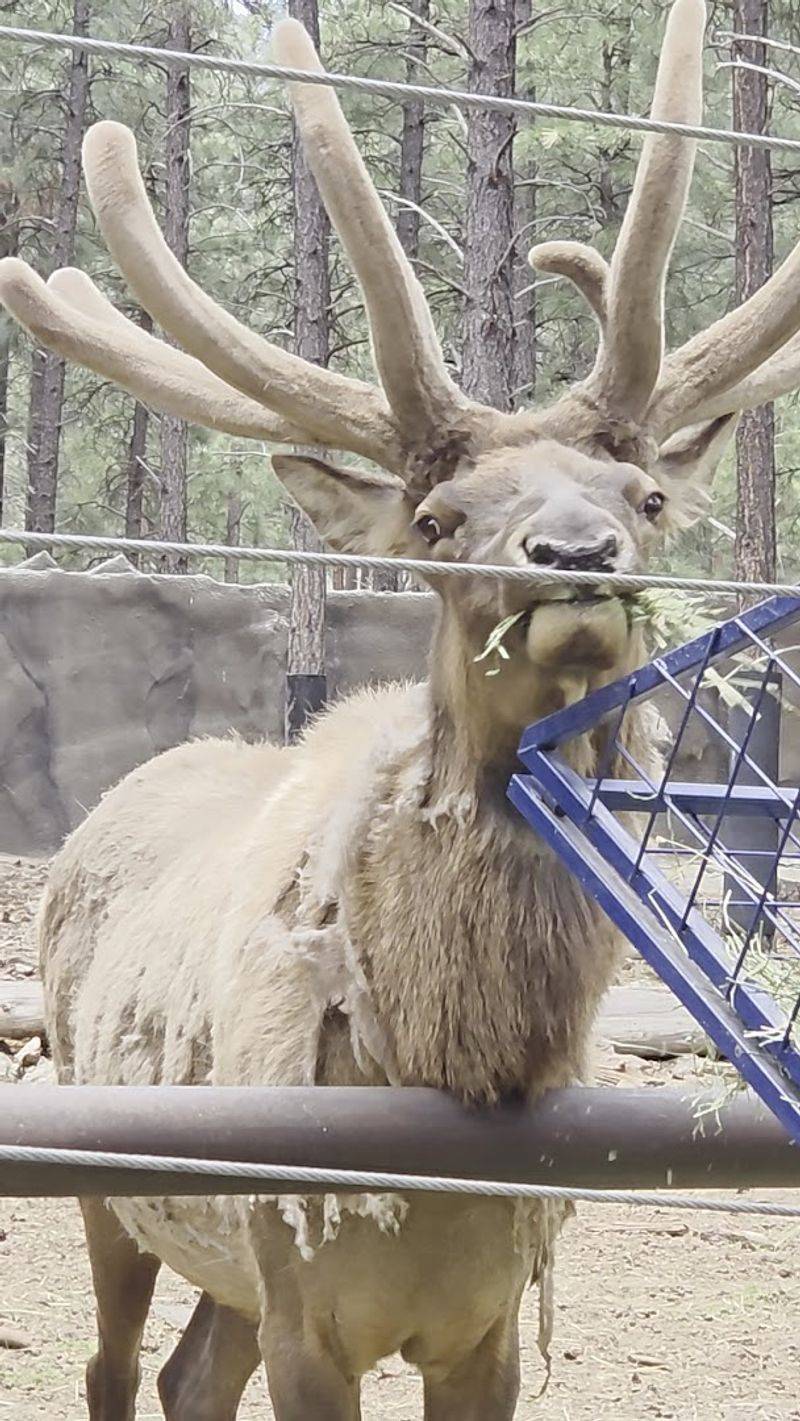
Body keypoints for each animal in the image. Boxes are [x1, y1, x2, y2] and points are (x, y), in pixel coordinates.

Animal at [2, 0, 799, 1415]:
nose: (575, 554)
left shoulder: (488, 1321)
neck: (451, 1074)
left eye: (645, 497)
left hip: (225, 1259)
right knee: (113, 1366)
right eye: (435, 517)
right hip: (113, 1175)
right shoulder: (308, 1314)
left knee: (189, 1374)